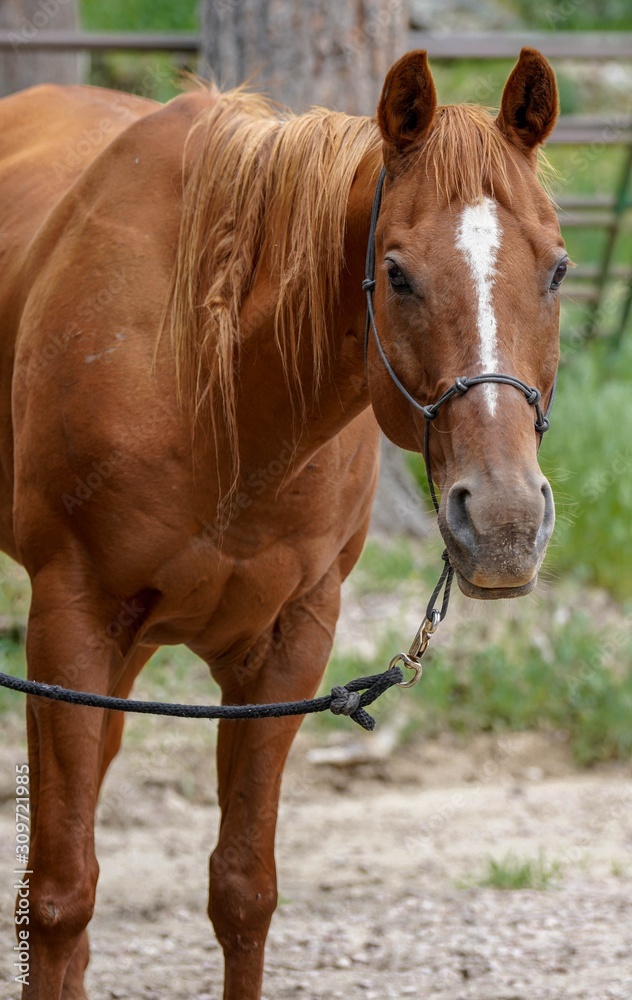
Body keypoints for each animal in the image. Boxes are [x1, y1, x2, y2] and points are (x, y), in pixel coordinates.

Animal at [0, 48, 564, 1000]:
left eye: (556, 269)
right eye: (397, 273)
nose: (505, 520)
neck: (218, 390)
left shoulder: (289, 646)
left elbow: (242, 893)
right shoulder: (70, 622)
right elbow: (60, 896)